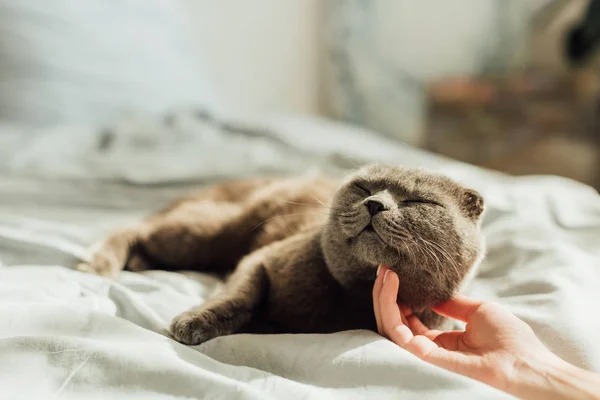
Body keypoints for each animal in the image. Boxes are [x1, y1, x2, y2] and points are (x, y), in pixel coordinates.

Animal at [78, 164, 482, 346]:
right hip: (210, 234)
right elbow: (238, 295)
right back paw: (99, 262)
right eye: (363, 187)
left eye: (420, 202)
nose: (374, 203)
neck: (355, 296)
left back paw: (137, 262)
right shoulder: (261, 260)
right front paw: (194, 322)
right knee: (136, 226)